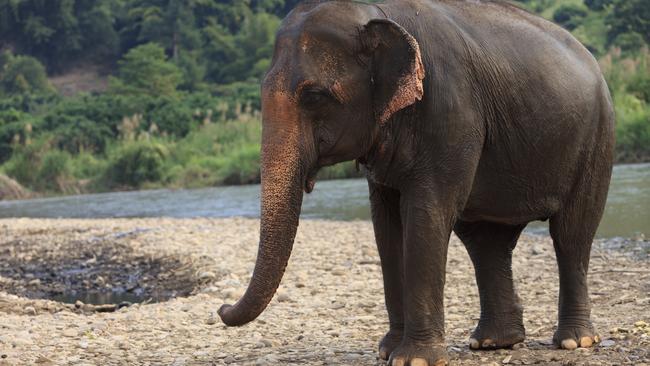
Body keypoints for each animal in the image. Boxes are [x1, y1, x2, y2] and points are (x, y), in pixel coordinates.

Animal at [218, 1, 612, 364]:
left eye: (314, 96)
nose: (221, 309)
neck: (377, 12)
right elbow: (387, 225)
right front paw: (388, 351)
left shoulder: (450, 110)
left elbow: (426, 213)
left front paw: (414, 359)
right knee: (486, 241)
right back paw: (493, 342)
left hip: (597, 139)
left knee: (571, 234)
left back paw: (574, 341)